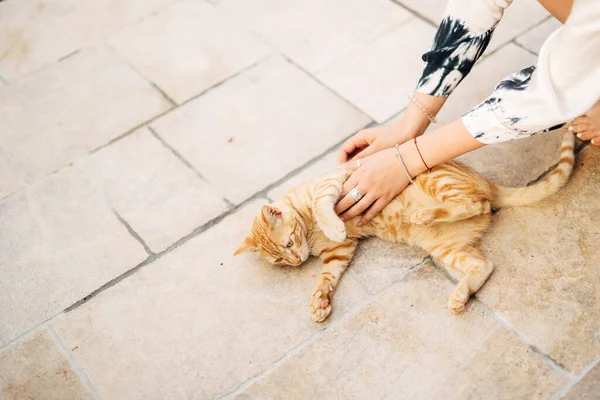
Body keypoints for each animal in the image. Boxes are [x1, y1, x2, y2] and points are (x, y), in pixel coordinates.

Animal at [234, 134, 576, 322]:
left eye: (288, 244)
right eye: (280, 259)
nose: (296, 261)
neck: (309, 233)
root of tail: (487, 182)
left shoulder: (336, 183)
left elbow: (323, 204)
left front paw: (332, 224)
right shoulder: (339, 252)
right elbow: (327, 277)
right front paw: (320, 301)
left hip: (430, 177)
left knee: (475, 204)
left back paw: (424, 215)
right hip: (444, 247)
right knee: (484, 264)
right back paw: (460, 295)